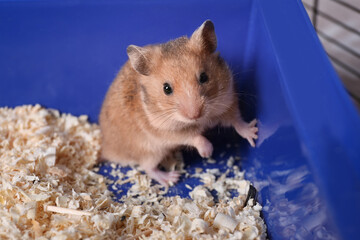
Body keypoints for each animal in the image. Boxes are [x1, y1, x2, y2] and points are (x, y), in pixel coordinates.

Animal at [98, 20, 258, 186]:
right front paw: (207, 152)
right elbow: (193, 137)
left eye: (204, 77)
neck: (201, 120)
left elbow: (237, 121)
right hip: (150, 151)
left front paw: (254, 133)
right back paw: (172, 178)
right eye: (166, 88)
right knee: (148, 168)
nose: (195, 114)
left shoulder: (227, 101)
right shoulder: (166, 131)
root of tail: (106, 148)